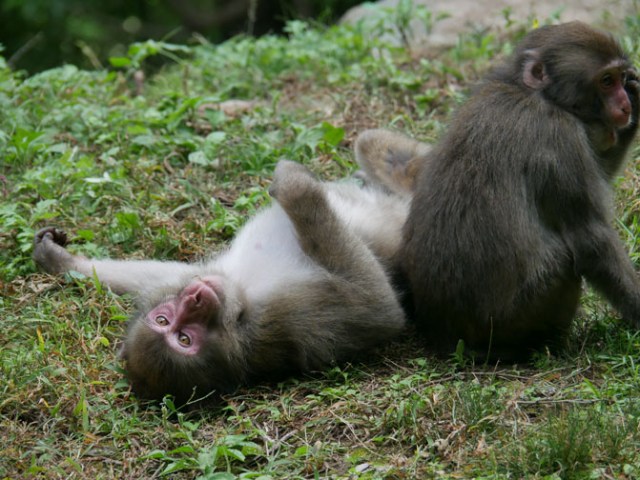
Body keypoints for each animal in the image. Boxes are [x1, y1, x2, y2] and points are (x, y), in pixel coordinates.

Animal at [33, 160, 409, 403]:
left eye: (163, 320)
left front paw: (59, 259)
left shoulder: (199, 279)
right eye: (184, 339)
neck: (241, 303)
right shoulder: (289, 318)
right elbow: (379, 307)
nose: (195, 298)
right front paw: (294, 184)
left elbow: (161, 275)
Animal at [355, 21, 640, 360]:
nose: (625, 105)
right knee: (565, 260)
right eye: (606, 81)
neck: (532, 93)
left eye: (621, 78)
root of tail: (445, 337)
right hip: (519, 315)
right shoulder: (560, 137)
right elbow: (589, 237)